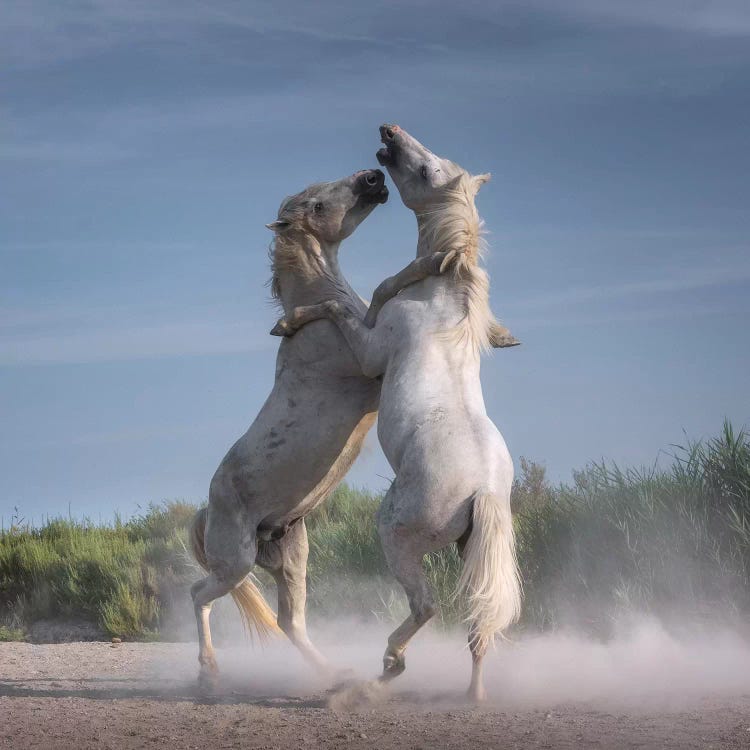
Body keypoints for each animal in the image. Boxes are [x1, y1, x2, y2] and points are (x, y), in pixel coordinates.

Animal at [280, 125, 524, 704]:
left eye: (429, 170)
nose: (388, 132)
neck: (441, 295)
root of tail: (481, 490)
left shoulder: (372, 352)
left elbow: (346, 307)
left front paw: (294, 320)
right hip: (471, 554)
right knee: (477, 627)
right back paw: (471, 696)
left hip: (395, 537)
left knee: (427, 606)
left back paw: (386, 667)